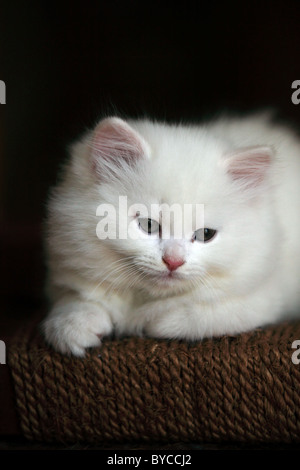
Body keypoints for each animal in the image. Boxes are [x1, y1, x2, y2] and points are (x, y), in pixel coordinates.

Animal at [42, 113, 300, 356]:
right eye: (148, 225)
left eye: (206, 234)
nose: (173, 261)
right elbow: (75, 300)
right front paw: (72, 327)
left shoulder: (264, 298)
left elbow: (200, 316)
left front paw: (150, 321)